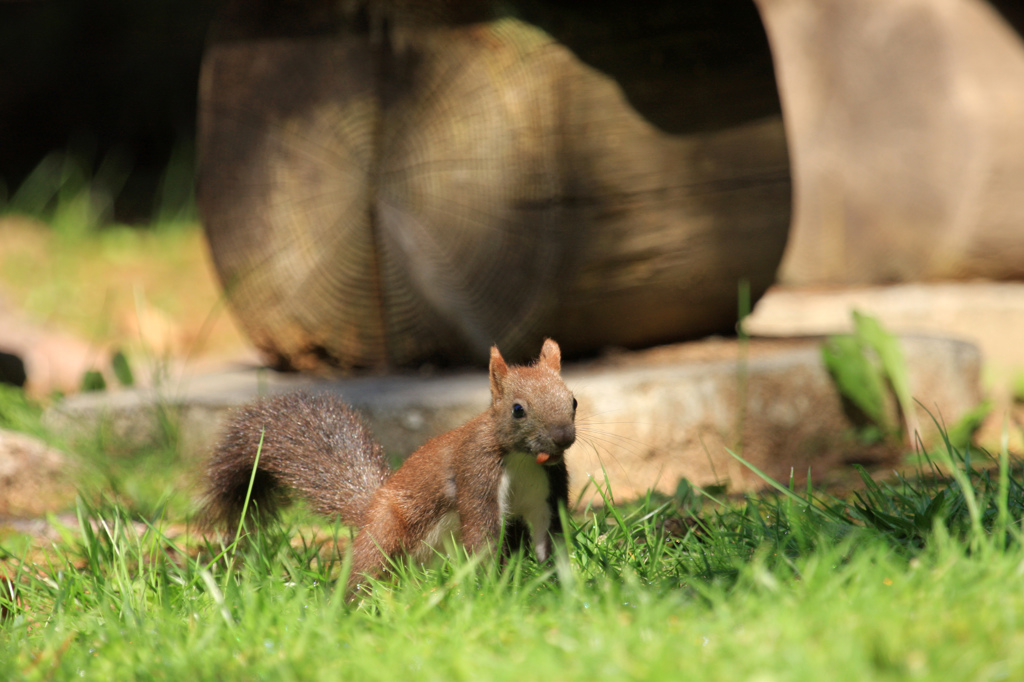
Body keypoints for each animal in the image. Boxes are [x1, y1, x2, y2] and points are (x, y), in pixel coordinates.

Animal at [199, 337, 577, 589]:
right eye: (518, 409)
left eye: (572, 401)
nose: (562, 437)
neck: (523, 460)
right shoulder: (476, 473)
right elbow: (481, 532)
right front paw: (493, 588)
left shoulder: (547, 488)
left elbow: (549, 534)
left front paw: (555, 584)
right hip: (386, 529)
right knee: (367, 563)